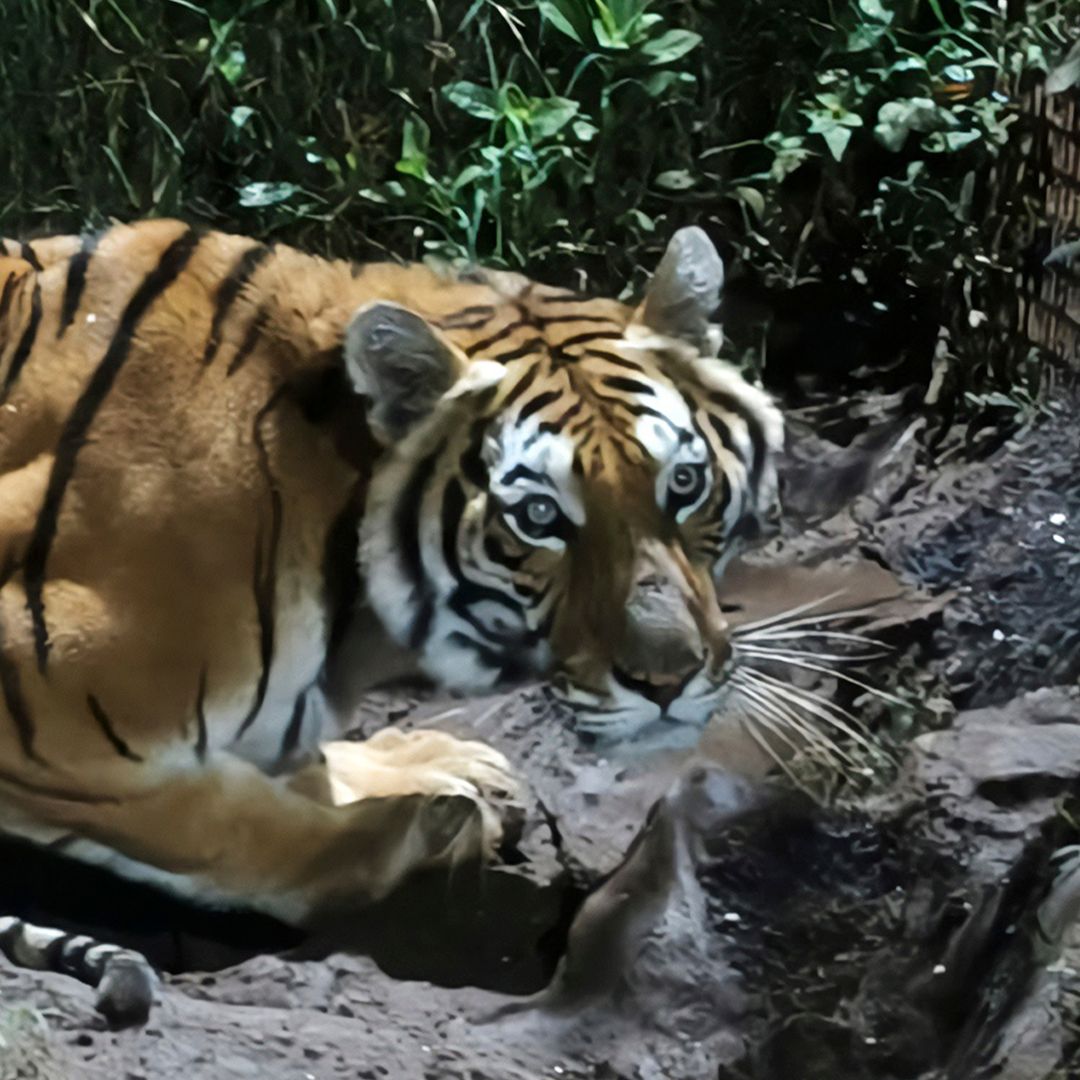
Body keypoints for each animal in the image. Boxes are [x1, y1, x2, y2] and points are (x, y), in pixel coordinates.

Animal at [0, 220, 783, 939]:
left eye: (684, 483)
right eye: (539, 516)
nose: (669, 682)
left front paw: (443, 770)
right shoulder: (49, 699)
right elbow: (235, 827)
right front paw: (432, 821)